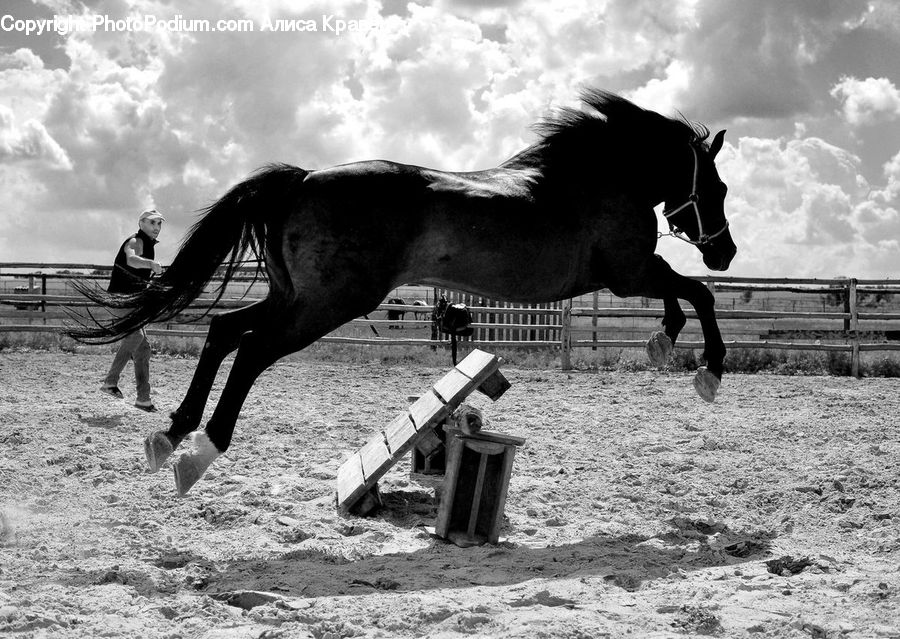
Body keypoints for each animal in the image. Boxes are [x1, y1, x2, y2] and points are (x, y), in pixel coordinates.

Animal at [68, 89, 736, 496]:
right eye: (719, 188)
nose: (725, 252)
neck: (598, 178)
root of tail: (302, 179)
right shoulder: (628, 273)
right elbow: (695, 293)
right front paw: (705, 368)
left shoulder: (628, 276)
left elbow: (683, 293)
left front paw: (663, 342)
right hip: (329, 304)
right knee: (253, 349)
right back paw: (199, 451)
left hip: (295, 297)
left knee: (224, 330)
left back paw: (170, 435)